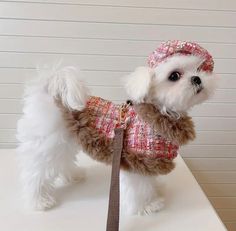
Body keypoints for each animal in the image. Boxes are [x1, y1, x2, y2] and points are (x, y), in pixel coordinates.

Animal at [16, 40, 216, 215]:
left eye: (199, 69)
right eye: (174, 76)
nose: (197, 79)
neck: (158, 114)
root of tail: (50, 91)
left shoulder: (150, 160)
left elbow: (150, 179)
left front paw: (155, 189)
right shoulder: (136, 160)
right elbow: (138, 187)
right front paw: (147, 206)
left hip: (65, 140)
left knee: (62, 161)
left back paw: (73, 176)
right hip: (48, 143)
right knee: (36, 172)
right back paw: (39, 201)